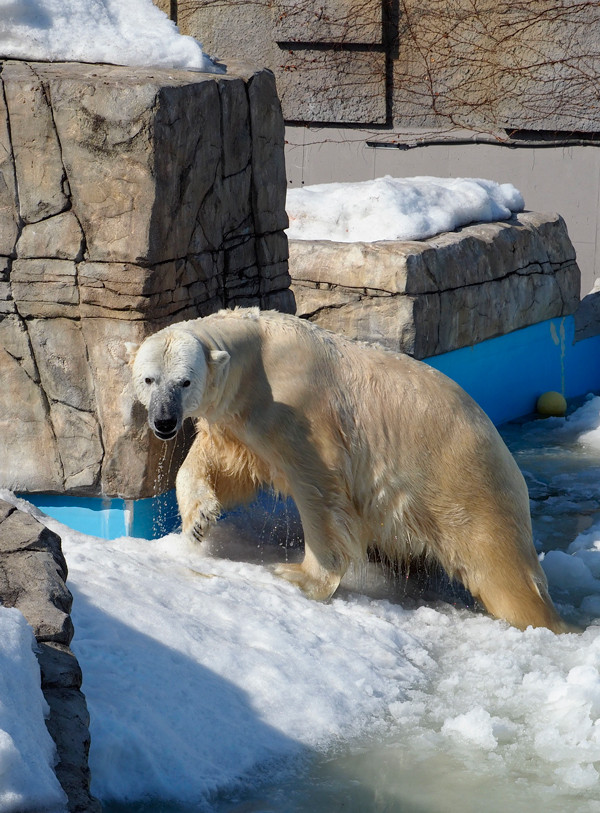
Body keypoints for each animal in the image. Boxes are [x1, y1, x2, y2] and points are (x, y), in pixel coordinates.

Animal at [130, 308, 568, 632]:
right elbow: (222, 464)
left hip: (463, 482)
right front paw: (198, 521)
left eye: (185, 382)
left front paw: (298, 576)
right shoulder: (238, 418)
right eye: (149, 379)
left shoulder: (299, 410)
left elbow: (319, 489)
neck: (255, 358)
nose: (164, 421)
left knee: (500, 568)